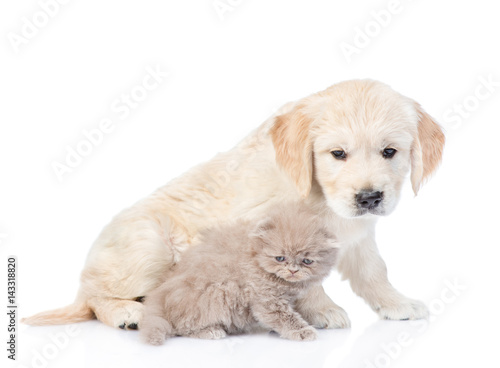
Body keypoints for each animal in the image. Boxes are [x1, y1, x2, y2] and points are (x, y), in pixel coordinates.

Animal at [139, 201, 338, 344]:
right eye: (280, 258)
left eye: (307, 261)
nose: (293, 270)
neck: (255, 256)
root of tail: (160, 294)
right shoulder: (266, 300)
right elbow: (285, 318)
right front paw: (303, 331)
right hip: (217, 292)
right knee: (182, 327)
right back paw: (211, 331)